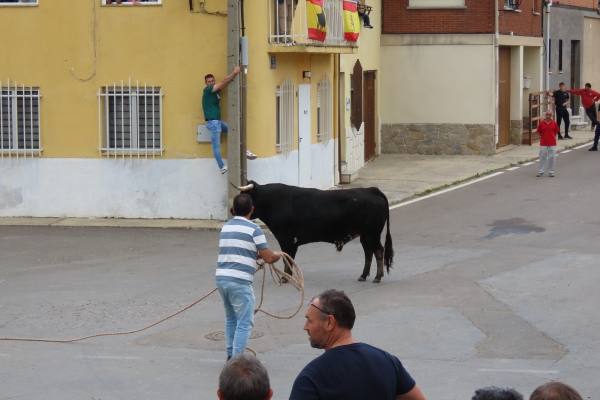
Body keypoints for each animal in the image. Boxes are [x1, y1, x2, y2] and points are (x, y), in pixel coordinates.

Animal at [239, 180, 394, 282]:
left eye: (245, 196)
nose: (235, 209)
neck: (273, 201)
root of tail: (371, 190)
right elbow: (288, 259)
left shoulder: (287, 240)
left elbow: (287, 259)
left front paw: (285, 278)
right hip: (365, 235)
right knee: (369, 252)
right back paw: (363, 276)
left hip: (372, 234)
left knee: (378, 251)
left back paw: (377, 277)